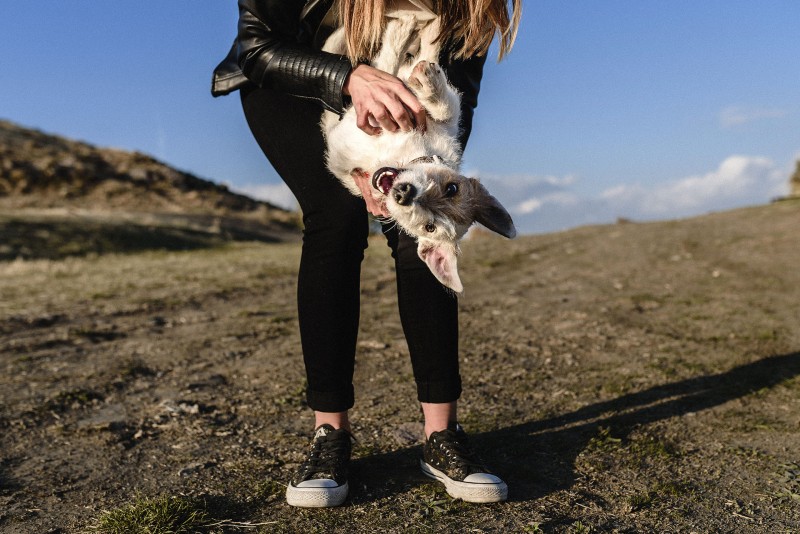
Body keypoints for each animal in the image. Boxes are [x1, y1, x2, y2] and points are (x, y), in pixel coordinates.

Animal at [322, 15, 516, 294]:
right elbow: (444, 107)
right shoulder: (442, 123)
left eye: (430, 227)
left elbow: (384, 64)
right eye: (452, 188)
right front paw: (426, 76)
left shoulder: (339, 142)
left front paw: (400, 36)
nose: (404, 194)